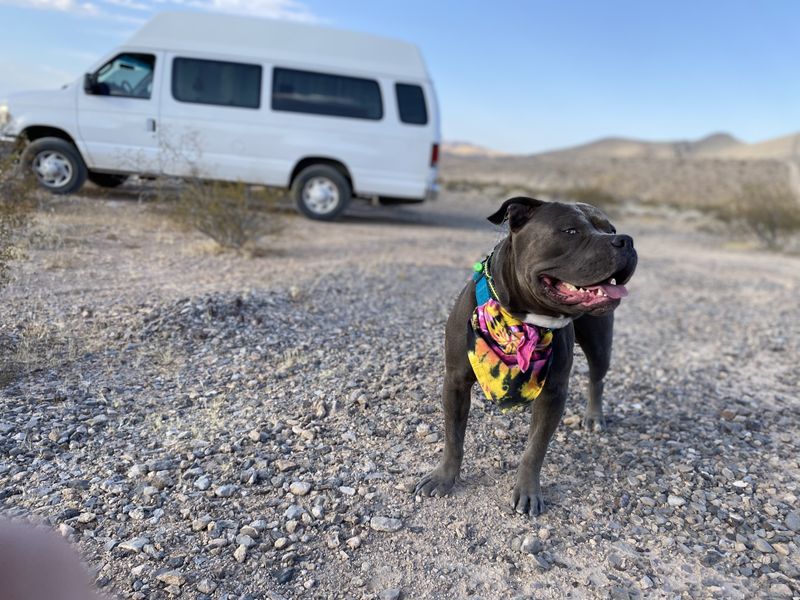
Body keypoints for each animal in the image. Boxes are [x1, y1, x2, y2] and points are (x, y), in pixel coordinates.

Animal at [416, 197, 636, 516]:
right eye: (570, 231)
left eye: (612, 230)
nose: (626, 240)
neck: (520, 320)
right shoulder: (455, 382)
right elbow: (453, 437)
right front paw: (444, 477)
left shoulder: (554, 392)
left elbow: (535, 449)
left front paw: (528, 491)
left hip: (599, 345)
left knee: (597, 378)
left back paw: (594, 416)